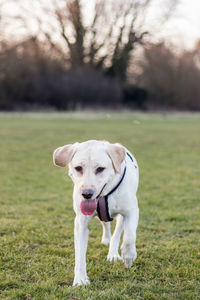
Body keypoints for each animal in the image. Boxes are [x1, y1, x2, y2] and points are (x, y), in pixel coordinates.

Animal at [52, 140, 139, 286]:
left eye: (100, 169)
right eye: (78, 168)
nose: (86, 193)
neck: (104, 196)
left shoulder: (131, 211)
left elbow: (129, 237)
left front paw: (128, 256)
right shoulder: (80, 223)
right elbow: (80, 253)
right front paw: (80, 279)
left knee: (118, 232)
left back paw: (113, 253)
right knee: (105, 224)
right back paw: (106, 239)